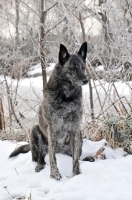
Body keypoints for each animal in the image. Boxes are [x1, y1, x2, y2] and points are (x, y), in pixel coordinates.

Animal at [9, 41, 88, 180]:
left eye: (83, 67)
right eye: (72, 68)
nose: (86, 80)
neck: (67, 97)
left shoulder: (75, 128)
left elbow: (75, 160)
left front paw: (76, 174)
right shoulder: (52, 128)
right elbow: (52, 156)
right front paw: (55, 174)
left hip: (79, 135)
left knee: (75, 155)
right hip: (35, 131)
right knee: (40, 157)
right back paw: (39, 166)